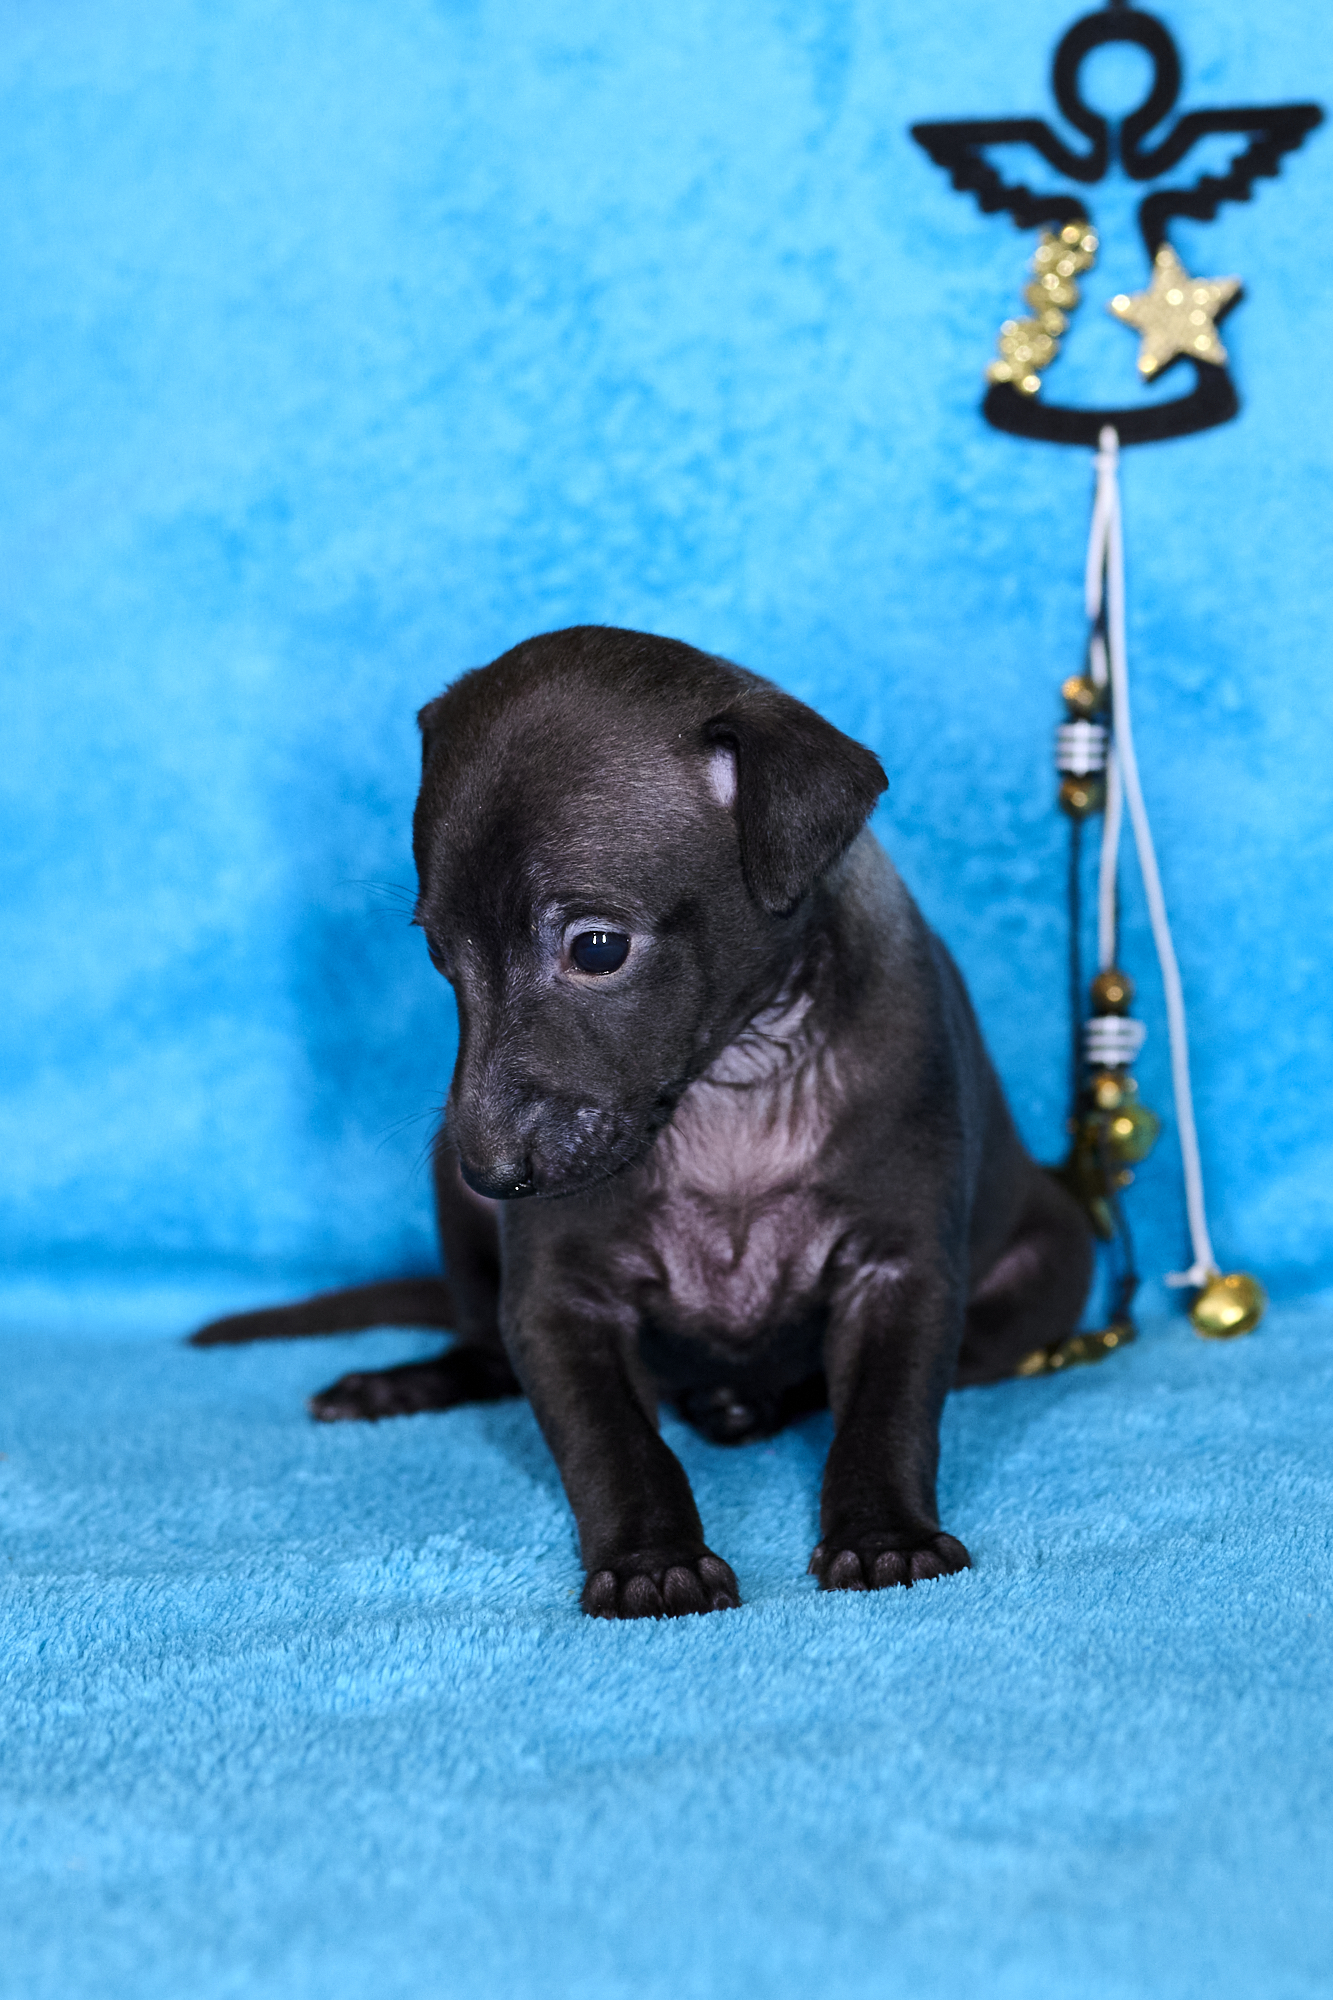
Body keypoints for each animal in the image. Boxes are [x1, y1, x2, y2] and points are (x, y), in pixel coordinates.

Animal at [193, 626, 1093, 1617]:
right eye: (438, 955)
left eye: (596, 948)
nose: (490, 1175)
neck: (733, 1076)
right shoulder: (556, 1297)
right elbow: (612, 1441)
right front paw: (651, 1557)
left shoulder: (900, 1269)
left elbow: (881, 1415)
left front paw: (883, 1533)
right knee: (484, 1349)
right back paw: (394, 1383)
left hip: (1051, 1267)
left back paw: (745, 1403)